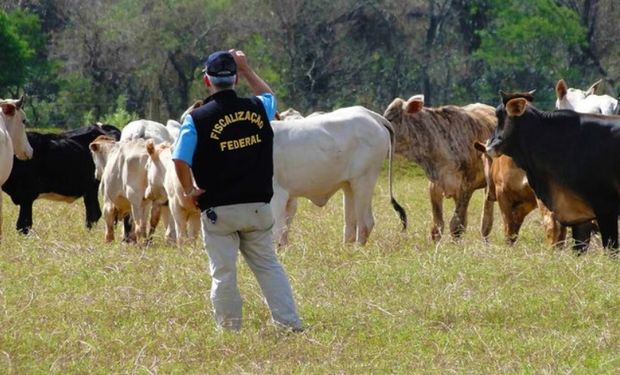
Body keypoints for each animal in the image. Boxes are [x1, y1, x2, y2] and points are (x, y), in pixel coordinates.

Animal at [272, 106, 406, 247]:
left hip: (364, 180)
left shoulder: (278, 195)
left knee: (365, 222)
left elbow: (276, 232)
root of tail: (371, 115)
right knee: (350, 226)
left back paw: (358, 249)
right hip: (349, 185)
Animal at [386, 94, 496, 241]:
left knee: (486, 220)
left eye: (390, 118)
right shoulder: (434, 186)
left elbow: (456, 226)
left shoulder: (466, 187)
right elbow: (437, 226)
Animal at [486, 92, 620, 254]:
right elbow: (579, 248)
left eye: (499, 116)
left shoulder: (606, 206)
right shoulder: (580, 215)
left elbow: (611, 249)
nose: (488, 145)